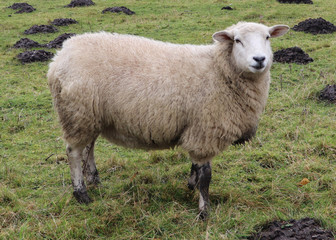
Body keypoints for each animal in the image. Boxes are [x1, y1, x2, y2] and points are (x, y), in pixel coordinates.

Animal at [47, 21, 288, 218]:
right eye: (237, 40)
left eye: (267, 37)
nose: (260, 59)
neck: (219, 70)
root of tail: (60, 55)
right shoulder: (206, 130)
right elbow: (206, 176)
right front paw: (204, 211)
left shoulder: (196, 128)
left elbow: (196, 167)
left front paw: (191, 185)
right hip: (77, 112)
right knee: (74, 152)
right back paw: (81, 193)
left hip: (91, 116)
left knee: (89, 148)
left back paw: (94, 180)